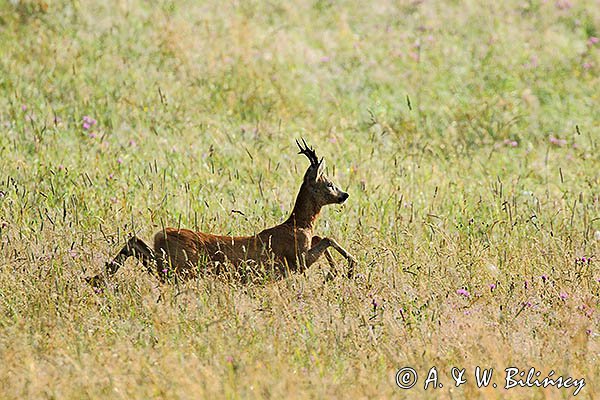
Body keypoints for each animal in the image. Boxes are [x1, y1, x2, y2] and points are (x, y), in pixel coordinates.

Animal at [86, 139, 354, 286]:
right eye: (329, 183)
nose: (344, 195)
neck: (298, 224)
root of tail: (161, 234)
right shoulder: (296, 260)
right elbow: (327, 238)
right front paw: (347, 269)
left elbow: (322, 238)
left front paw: (335, 272)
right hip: (181, 265)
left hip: (172, 264)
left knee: (134, 243)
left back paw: (96, 278)